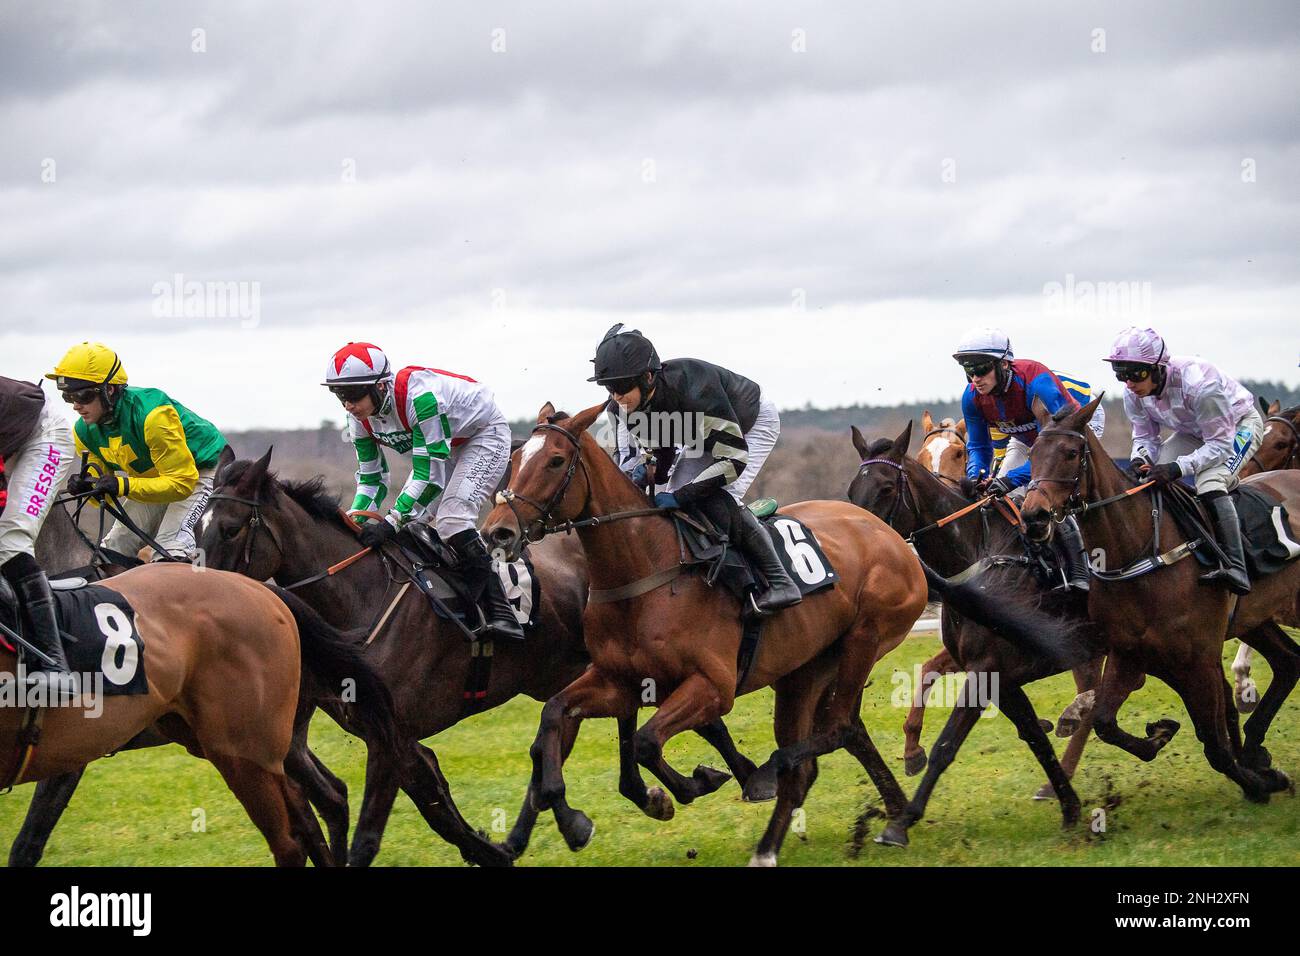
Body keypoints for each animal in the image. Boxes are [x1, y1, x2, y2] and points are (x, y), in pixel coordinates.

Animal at [0, 561, 403, 868]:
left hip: (243, 751)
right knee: (310, 814)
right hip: (235, 743)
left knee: (293, 838)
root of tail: (260, 588)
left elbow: (28, 841)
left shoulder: (73, 754)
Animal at [483, 400, 1081, 863]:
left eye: (555, 460)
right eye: (514, 459)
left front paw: (686, 786)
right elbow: (555, 716)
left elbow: (650, 742)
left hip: (866, 638)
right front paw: (571, 819)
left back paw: (787, 778)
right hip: (804, 669)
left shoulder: (712, 686)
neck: (645, 570)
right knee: (837, 732)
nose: (498, 531)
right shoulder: (618, 680)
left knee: (836, 728)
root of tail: (895, 542)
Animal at [1019, 392, 1300, 806]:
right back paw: (1254, 749)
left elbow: (1215, 744)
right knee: (1288, 663)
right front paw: (1161, 733)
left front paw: (1258, 783)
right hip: (1256, 618)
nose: (1034, 517)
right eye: (1033, 454)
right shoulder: (1130, 655)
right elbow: (1104, 723)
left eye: (1071, 453)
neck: (1139, 553)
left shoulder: (1198, 658)